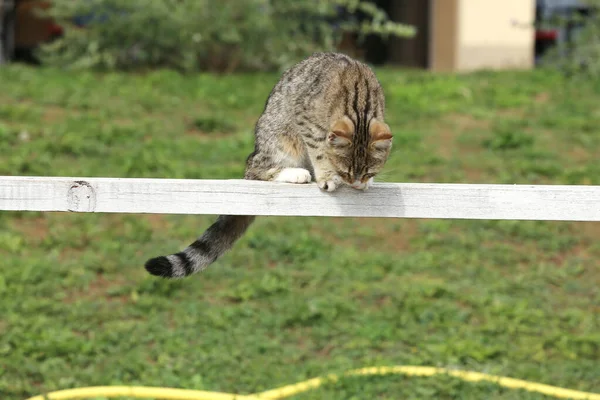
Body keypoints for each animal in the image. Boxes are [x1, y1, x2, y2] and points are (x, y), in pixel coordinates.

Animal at [145, 52, 394, 278]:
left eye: (368, 171)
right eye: (345, 171)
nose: (355, 183)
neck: (360, 106)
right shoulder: (306, 120)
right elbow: (319, 149)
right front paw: (326, 175)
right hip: (280, 140)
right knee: (257, 169)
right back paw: (297, 174)